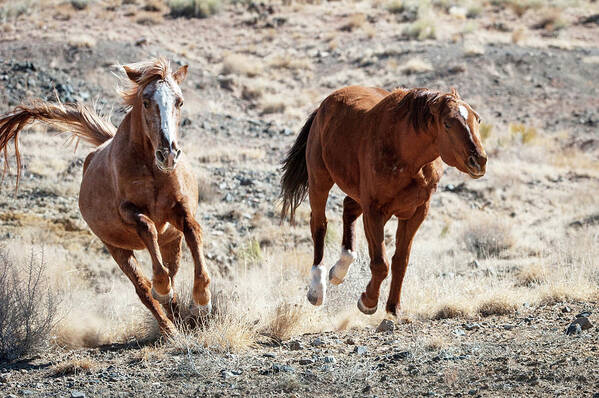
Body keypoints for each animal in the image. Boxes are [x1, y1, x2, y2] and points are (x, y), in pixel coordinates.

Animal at [0, 56, 211, 336]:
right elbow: (148, 229)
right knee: (143, 289)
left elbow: (194, 233)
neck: (152, 169)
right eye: (146, 101)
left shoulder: (179, 211)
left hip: (170, 241)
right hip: (117, 249)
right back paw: (169, 328)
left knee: (172, 270)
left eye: (180, 101)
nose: (168, 154)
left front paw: (202, 300)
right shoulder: (129, 213)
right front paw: (163, 288)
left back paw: (177, 315)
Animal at [282, 85, 488, 316]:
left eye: (477, 119)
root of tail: (324, 106)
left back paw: (340, 269)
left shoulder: (416, 212)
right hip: (320, 180)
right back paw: (317, 289)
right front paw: (368, 301)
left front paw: (393, 307)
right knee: (319, 224)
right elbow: (380, 263)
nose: (479, 160)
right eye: (447, 123)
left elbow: (400, 261)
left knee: (348, 208)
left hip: (357, 193)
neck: (407, 158)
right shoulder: (374, 211)